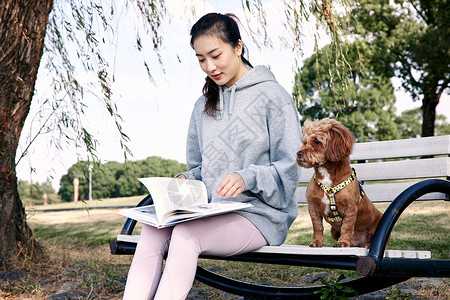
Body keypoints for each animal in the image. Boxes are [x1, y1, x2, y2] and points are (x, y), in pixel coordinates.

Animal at [298, 118, 382, 247]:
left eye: (317, 141)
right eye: (304, 142)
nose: (298, 153)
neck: (327, 176)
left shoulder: (351, 208)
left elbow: (347, 227)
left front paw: (343, 242)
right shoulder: (312, 207)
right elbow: (317, 226)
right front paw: (316, 241)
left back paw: (366, 245)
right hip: (333, 231)